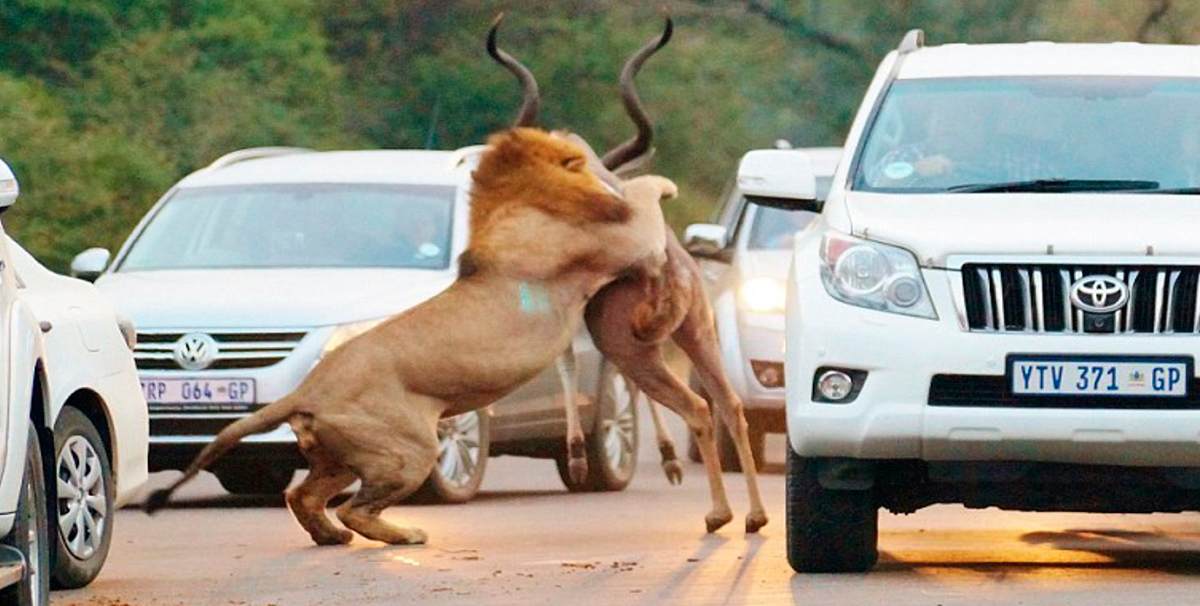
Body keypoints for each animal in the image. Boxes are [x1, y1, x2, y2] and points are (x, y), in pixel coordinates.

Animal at [139, 68, 681, 544]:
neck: (512, 202)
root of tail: (307, 390)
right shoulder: (625, 241)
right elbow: (645, 200)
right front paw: (663, 185)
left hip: (341, 456)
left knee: (303, 497)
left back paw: (332, 537)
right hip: (411, 447)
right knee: (355, 508)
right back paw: (404, 535)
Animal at [489, 16, 763, 530]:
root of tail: (669, 267)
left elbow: (567, 362)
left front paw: (578, 458)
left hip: (635, 345)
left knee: (697, 406)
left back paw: (718, 514)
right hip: (696, 333)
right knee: (730, 404)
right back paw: (754, 517)